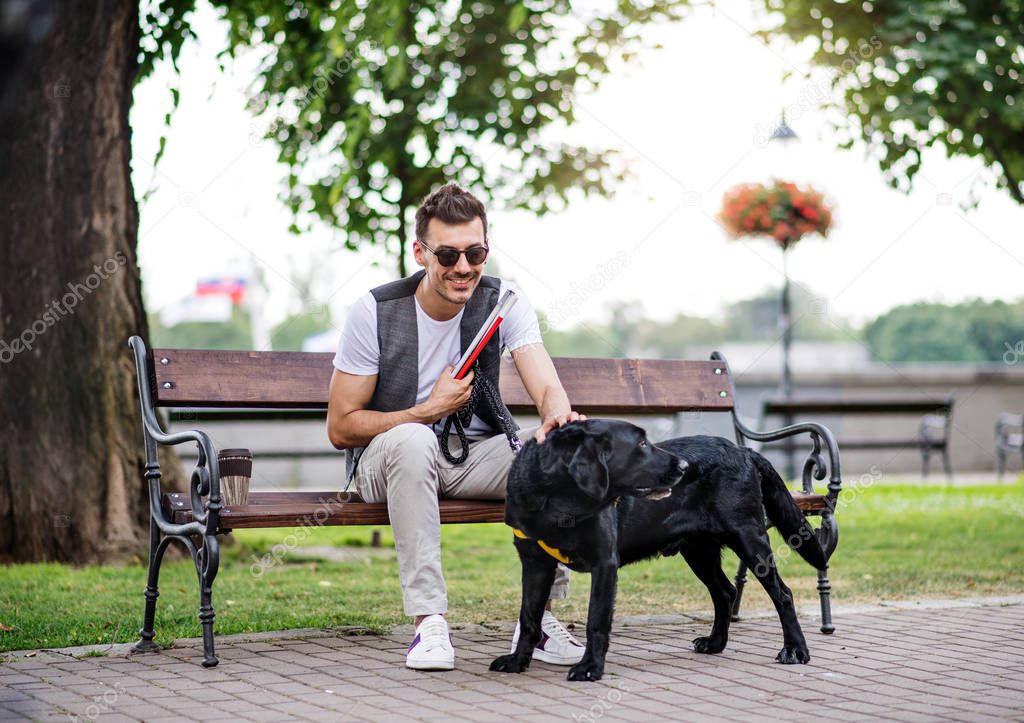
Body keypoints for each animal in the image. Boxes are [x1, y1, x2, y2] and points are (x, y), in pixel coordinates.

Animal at [489, 419, 831, 679]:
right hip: (698, 551)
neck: (558, 500)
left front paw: (590, 669)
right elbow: (529, 615)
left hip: (748, 538)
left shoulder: (604, 563)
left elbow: (596, 620)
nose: (684, 466)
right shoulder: (535, 561)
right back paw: (715, 643)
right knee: (725, 592)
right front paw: (517, 662)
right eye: (641, 444)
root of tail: (743, 449)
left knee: (782, 593)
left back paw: (795, 650)